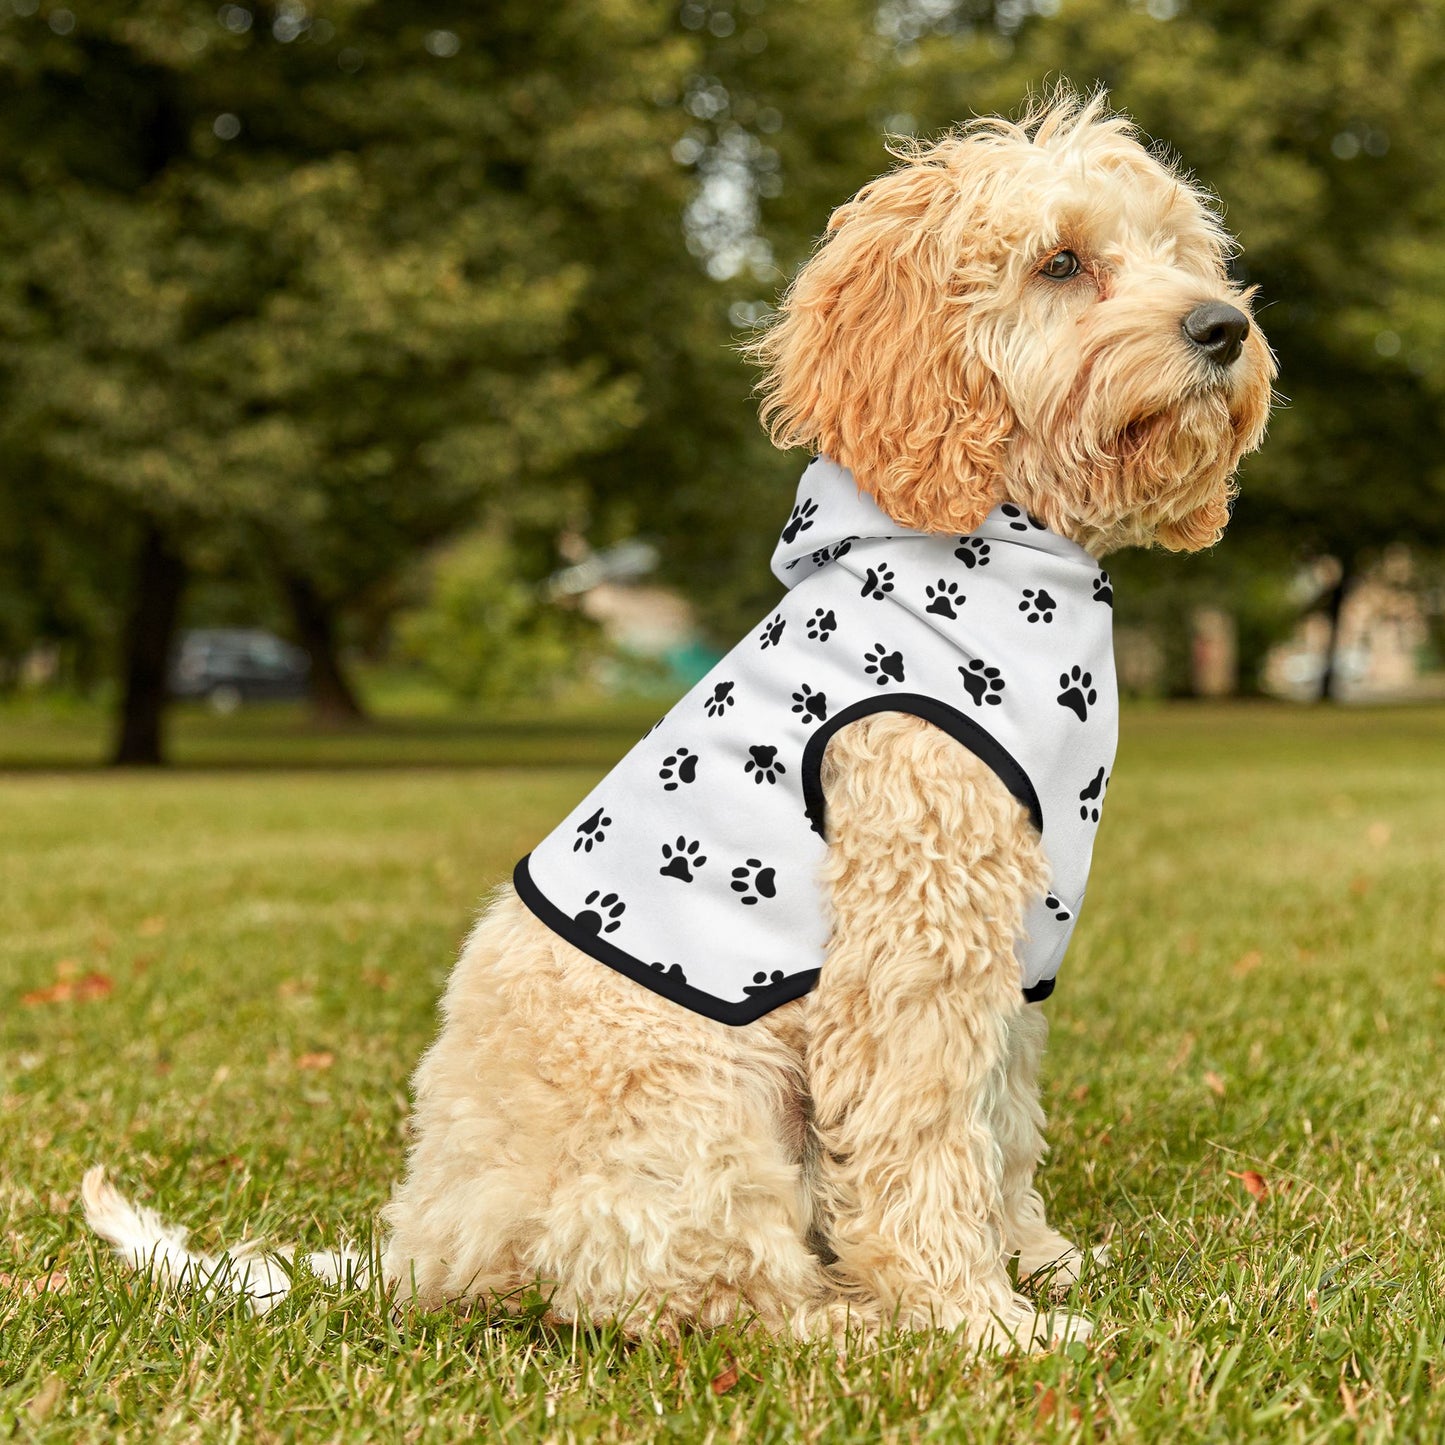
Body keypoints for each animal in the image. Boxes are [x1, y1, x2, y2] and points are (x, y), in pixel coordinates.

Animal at [84, 93, 1271, 1352]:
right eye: (1059, 262)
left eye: (1180, 252)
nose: (1222, 327)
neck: (993, 543)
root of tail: (424, 1247)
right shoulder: (913, 939)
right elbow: (922, 1137)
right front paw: (976, 1318)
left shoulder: (1012, 947)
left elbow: (998, 1121)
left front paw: (1035, 1260)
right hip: (702, 1101)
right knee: (702, 1292)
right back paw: (853, 1322)